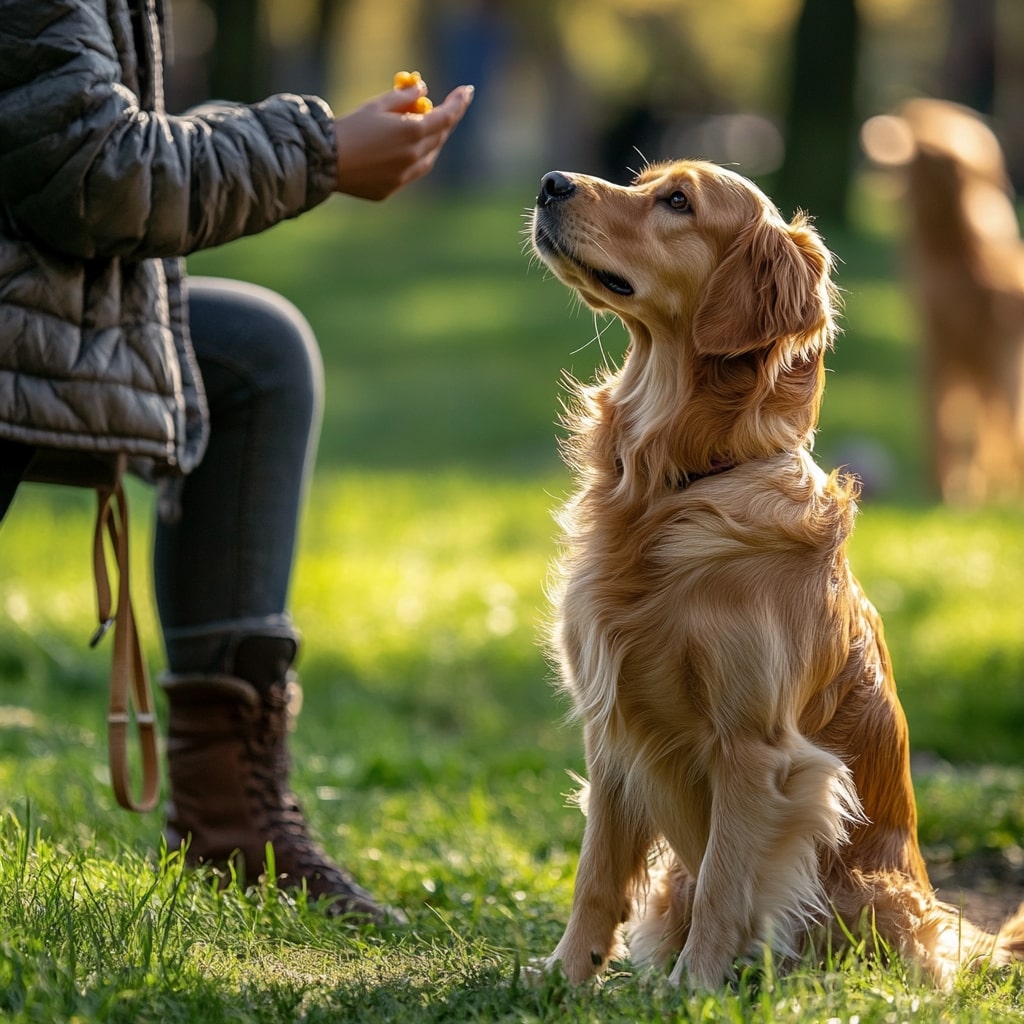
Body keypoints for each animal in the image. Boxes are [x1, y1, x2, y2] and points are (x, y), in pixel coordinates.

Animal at [528, 161, 1024, 991]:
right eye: (643, 180)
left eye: (677, 201)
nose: (551, 182)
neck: (677, 484)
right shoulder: (612, 729)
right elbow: (595, 874)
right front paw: (565, 974)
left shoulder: (757, 750)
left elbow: (728, 880)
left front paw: (692, 989)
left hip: (870, 895)